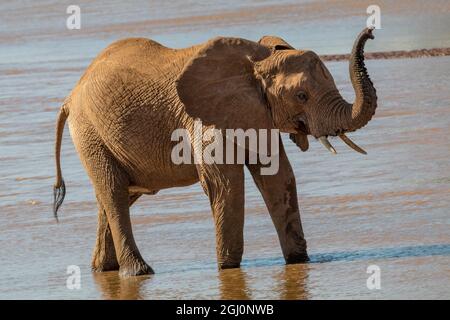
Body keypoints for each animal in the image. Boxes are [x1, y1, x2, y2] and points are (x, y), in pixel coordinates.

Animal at [51, 28, 376, 278]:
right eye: (301, 96)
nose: (371, 32)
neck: (257, 60)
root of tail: (70, 96)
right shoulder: (204, 118)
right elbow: (226, 185)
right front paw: (228, 269)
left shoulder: (258, 113)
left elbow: (278, 178)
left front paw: (299, 262)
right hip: (90, 132)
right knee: (113, 192)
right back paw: (139, 272)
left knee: (117, 195)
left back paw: (103, 269)